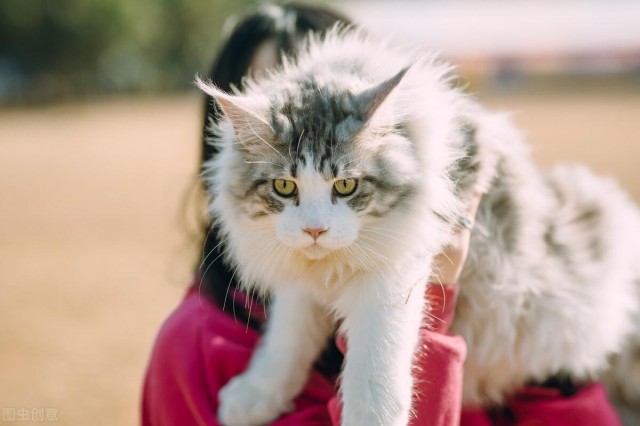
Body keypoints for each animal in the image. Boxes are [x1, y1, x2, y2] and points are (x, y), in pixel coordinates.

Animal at [196, 28, 640, 424]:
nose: (315, 231)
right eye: (285, 187)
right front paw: (256, 395)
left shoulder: (396, 265)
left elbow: (375, 361)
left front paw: (369, 418)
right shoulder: (301, 283)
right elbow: (287, 339)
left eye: (345, 186)